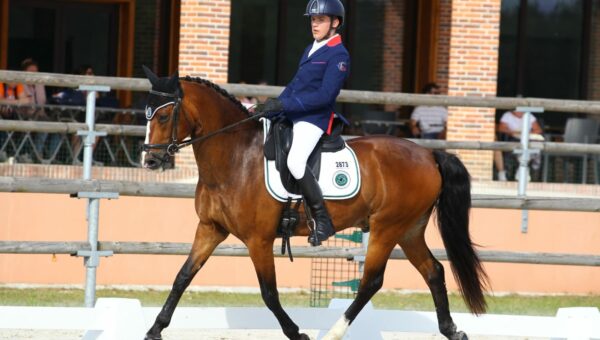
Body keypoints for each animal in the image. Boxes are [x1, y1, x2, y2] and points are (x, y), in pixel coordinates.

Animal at [141, 67, 488, 340]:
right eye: (146, 114)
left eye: (163, 115)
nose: (150, 160)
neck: (236, 157)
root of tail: (428, 154)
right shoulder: (210, 228)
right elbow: (183, 276)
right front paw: (155, 329)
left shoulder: (258, 240)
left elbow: (269, 293)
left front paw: (298, 333)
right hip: (409, 229)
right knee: (433, 271)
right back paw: (452, 330)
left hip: (388, 227)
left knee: (371, 281)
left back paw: (333, 332)